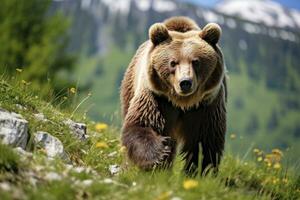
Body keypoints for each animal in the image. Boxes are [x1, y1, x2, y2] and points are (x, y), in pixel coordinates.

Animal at [120, 16, 226, 175]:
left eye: (196, 62)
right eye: (173, 63)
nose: (185, 82)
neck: (182, 102)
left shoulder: (206, 104)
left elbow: (205, 140)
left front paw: (200, 170)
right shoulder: (157, 98)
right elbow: (143, 124)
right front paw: (159, 155)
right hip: (131, 85)